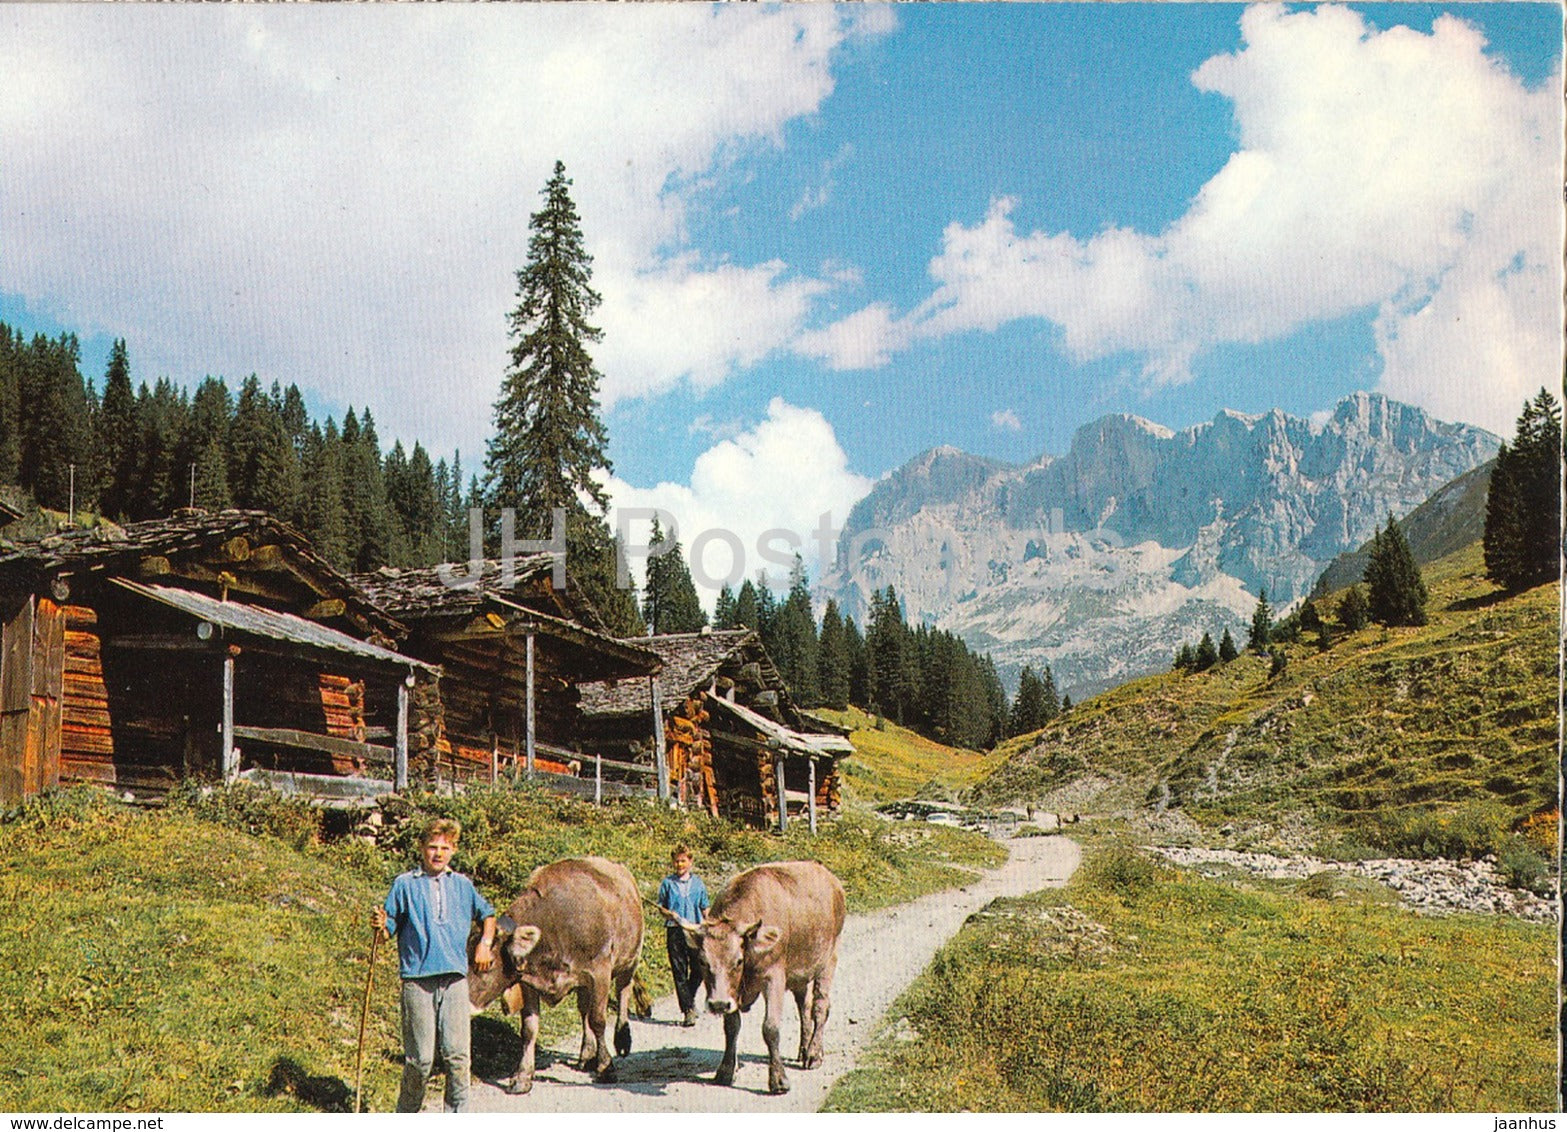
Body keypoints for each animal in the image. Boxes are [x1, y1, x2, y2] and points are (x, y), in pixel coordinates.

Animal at [463, 859, 642, 1091]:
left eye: (488, 963)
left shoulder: (600, 972)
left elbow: (598, 1020)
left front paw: (606, 1067)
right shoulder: (528, 981)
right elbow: (529, 1028)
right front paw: (523, 1076)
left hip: (630, 960)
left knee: (622, 993)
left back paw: (621, 1038)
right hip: (584, 982)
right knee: (584, 1009)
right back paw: (587, 1053)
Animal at [676, 859, 846, 1091]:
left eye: (738, 961)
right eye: (703, 961)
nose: (718, 1004)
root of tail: (830, 877)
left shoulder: (774, 977)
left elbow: (770, 1028)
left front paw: (778, 1079)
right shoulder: (731, 992)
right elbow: (731, 1027)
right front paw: (726, 1070)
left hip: (829, 959)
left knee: (820, 1007)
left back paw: (813, 1054)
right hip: (799, 973)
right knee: (804, 1006)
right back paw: (803, 1049)